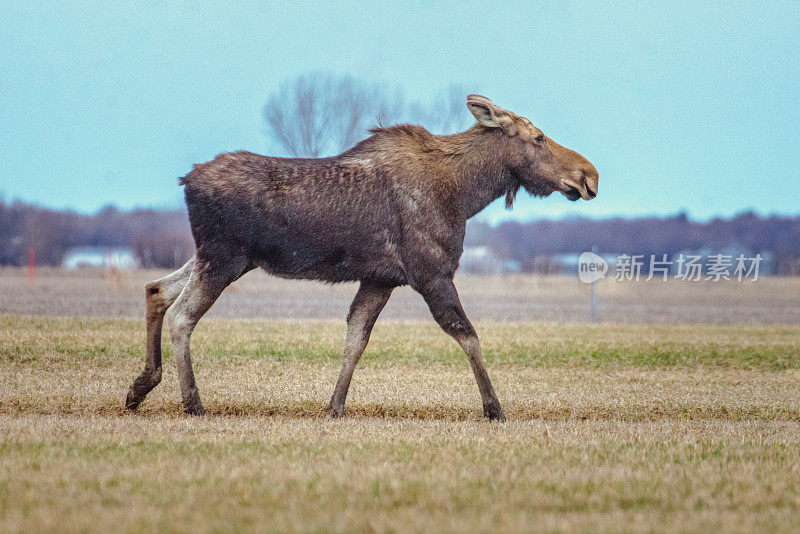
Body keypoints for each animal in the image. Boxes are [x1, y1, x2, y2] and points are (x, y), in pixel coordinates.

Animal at [125, 96, 596, 422]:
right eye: (538, 137)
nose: (588, 175)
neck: (466, 194)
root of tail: (186, 181)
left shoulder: (380, 278)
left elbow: (356, 338)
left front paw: (334, 407)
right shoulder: (431, 273)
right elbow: (469, 336)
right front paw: (494, 408)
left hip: (219, 257)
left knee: (156, 289)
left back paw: (140, 386)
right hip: (223, 258)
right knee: (181, 315)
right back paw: (192, 403)